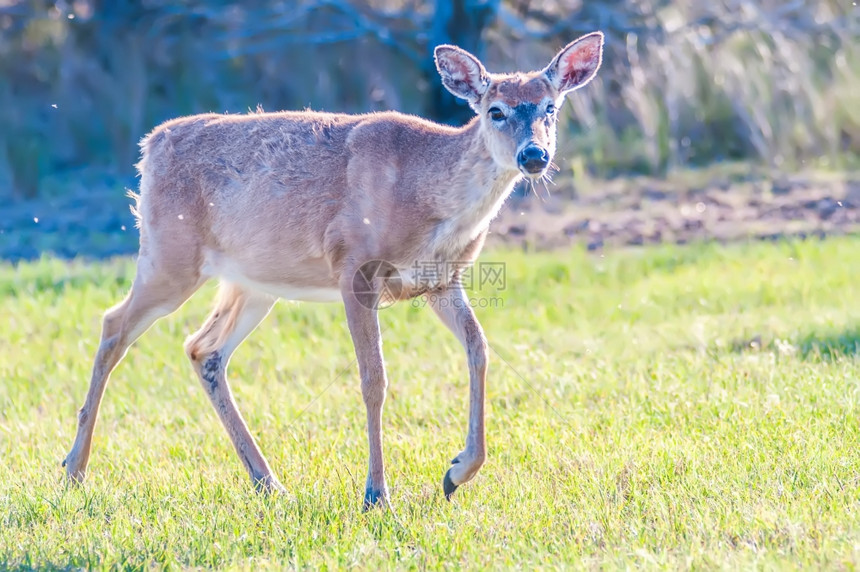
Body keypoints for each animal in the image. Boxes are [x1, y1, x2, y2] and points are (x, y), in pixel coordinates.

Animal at [62, 31, 604, 508]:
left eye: (550, 108)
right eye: (496, 111)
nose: (534, 155)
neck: (426, 195)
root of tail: (150, 146)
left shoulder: (441, 280)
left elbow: (479, 349)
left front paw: (456, 472)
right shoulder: (354, 267)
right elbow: (374, 379)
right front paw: (377, 494)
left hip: (253, 281)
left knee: (202, 349)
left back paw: (268, 483)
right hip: (169, 255)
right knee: (113, 326)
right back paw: (74, 470)